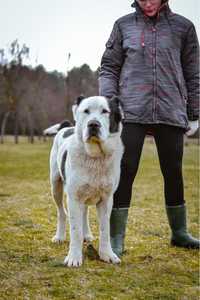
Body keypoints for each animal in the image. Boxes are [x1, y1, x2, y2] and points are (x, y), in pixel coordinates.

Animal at [49, 95, 123, 266]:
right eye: (86, 111)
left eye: (105, 111)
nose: (93, 124)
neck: (95, 157)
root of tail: (66, 127)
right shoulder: (74, 197)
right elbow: (75, 230)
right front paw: (74, 258)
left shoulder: (107, 199)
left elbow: (105, 229)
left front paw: (107, 255)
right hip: (55, 186)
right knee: (62, 212)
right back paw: (59, 237)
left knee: (84, 212)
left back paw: (87, 234)